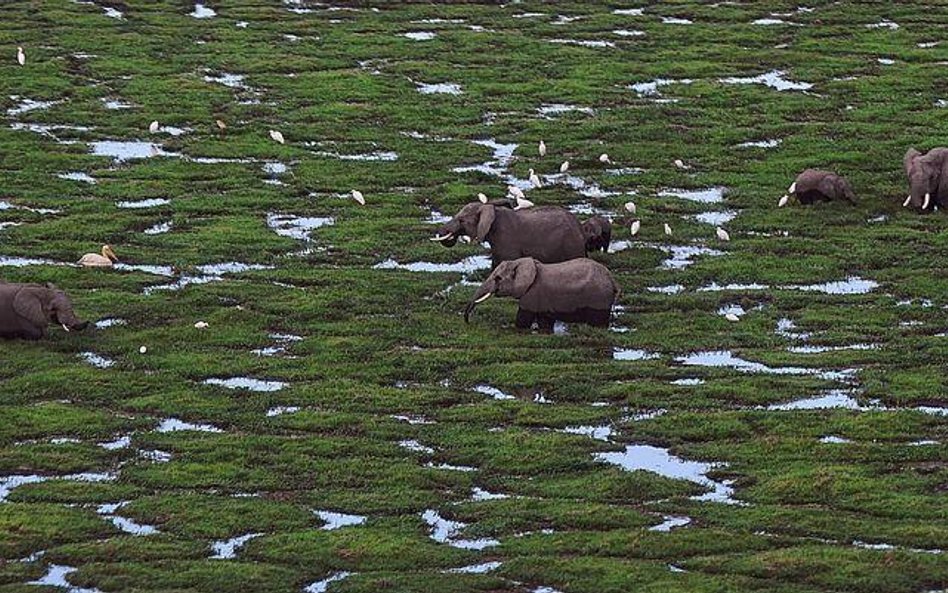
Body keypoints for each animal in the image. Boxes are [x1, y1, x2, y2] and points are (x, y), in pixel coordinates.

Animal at [462, 256, 620, 332]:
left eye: (497, 278)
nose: (468, 322)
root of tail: (613, 280)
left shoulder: (532, 293)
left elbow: (523, 320)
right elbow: (545, 321)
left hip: (598, 297)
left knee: (598, 322)